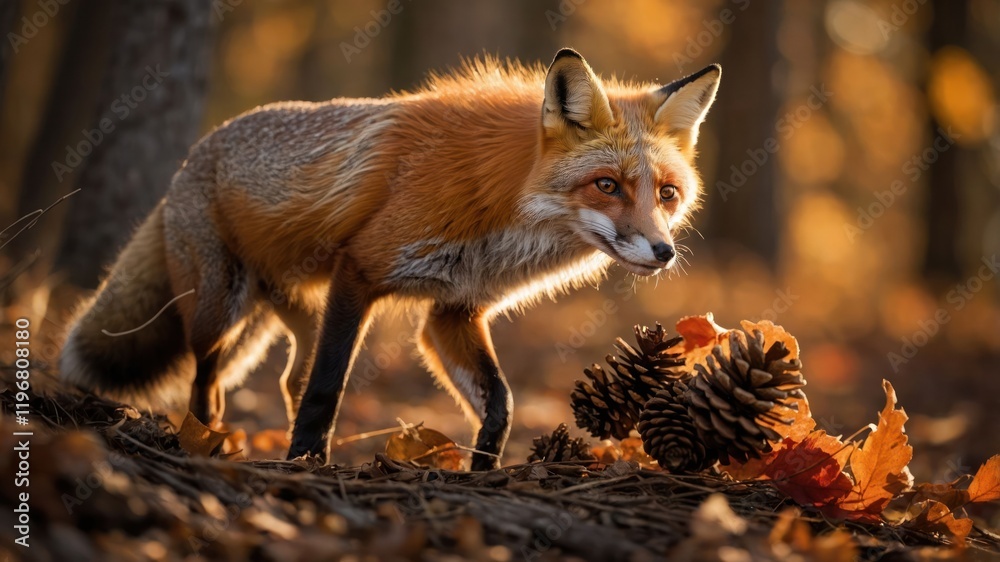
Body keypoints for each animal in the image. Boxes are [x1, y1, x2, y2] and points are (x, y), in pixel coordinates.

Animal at [60, 49, 720, 470]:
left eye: (667, 193)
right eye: (607, 186)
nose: (662, 252)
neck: (501, 218)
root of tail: (194, 153)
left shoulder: (453, 312)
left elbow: (501, 407)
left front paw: (483, 474)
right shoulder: (362, 271)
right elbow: (328, 388)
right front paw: (307, 464)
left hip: (296, 313)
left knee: (285, 377)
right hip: (219, 308)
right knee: (212, 379)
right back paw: (204, 440)